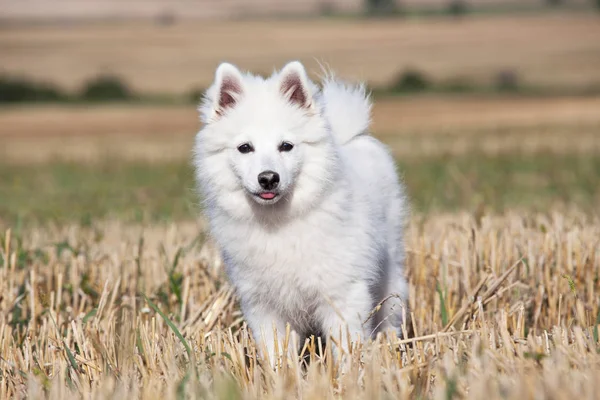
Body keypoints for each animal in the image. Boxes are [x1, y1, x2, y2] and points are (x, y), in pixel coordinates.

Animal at [195, 61, 410, 366]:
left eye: (286, 146)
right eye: (245, 148)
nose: (268, 178)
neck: (279, 222)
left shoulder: (343, 296)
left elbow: (347, 348)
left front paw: (349, 375)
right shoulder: (263, 306)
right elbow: (276, 353)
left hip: (388, 280)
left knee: (390, 318)